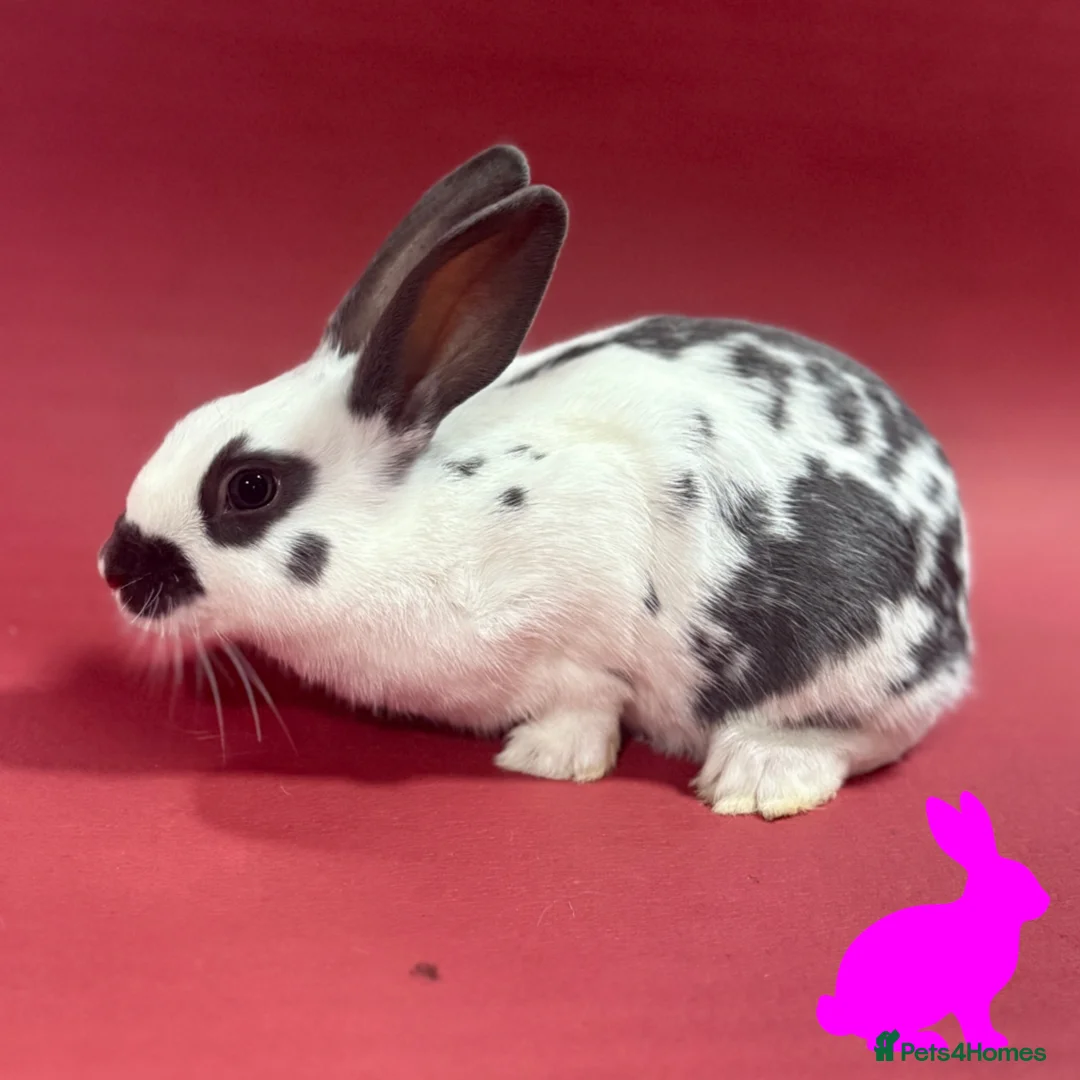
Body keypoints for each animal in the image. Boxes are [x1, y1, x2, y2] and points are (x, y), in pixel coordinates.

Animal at [98, 144, 973, 818]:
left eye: (250, 488)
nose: (114, 566)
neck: (416, 518)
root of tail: (956, 601)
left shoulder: (586, 623)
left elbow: (587, 703)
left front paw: (542, 758)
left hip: (850, 653)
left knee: (872, 728)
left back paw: (758, 778)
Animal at [817, 792, 1049, 1051]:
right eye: (1014, 882)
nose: (1045, 901)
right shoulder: (969, 998)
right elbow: (974, 1020)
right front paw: (987, 1043)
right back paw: (926, 1041)